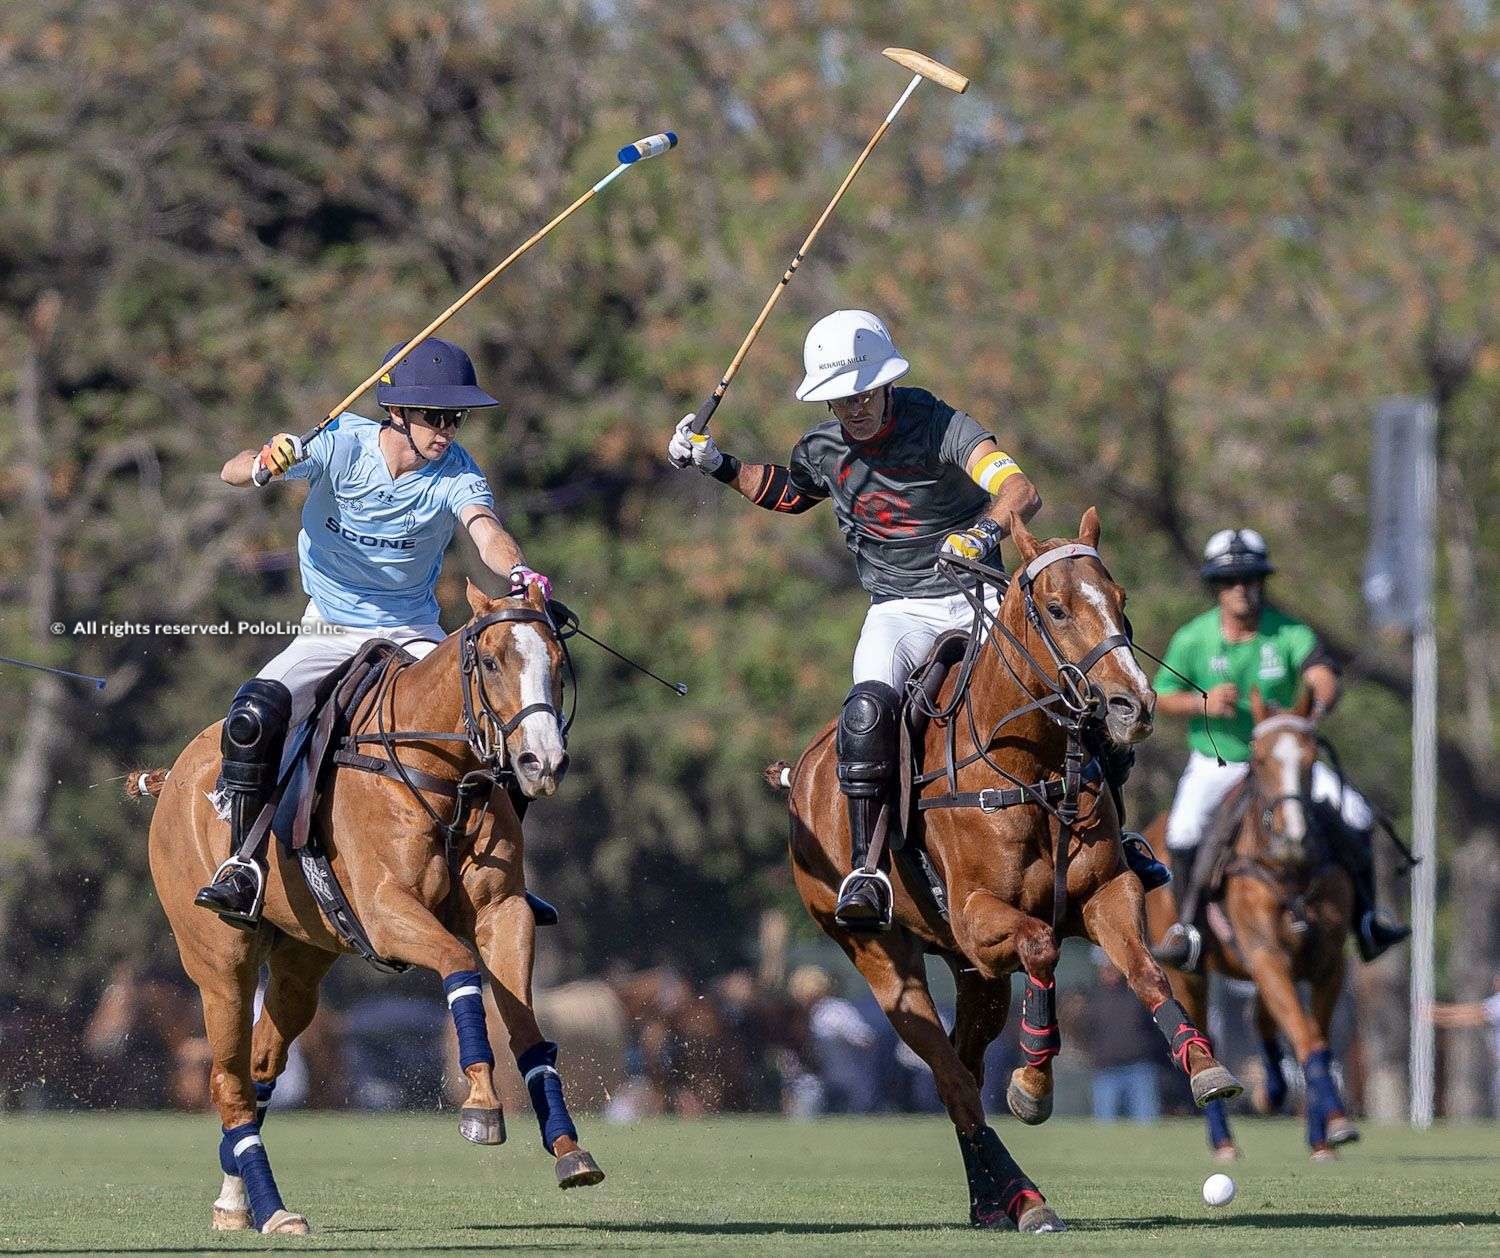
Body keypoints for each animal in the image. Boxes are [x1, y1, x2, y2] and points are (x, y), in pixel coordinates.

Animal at [135, 581, 603, 1241]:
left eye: (558, 666)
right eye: (490, 662)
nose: (543, 762)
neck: (444, 771)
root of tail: (173, 774)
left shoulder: (504, 910)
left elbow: (528, 1028)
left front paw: (568, 1149)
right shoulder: (386, 912)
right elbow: (460, 966)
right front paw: (482, 1107)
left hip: (302, 961)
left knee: (260, 1064)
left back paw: (236, 1199)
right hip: (218, 959)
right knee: (227, 1079)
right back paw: (274, 1210)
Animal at [780, 509, 1236, 1229]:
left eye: (1122, 600)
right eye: (1056, 608)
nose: (1134, 705)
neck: (1033, 766)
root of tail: (802, 773)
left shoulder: (1106, 892)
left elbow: (1142, 967)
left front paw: (1202, 1066)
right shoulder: (976, 919)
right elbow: (1043, 944)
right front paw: (1032, 1086)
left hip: (974, 977)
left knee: (963, 1070)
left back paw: (993, 1200)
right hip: (881, 957)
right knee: (951, 1078)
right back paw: (1025, 1199)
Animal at [1146, 689, 1362, 1163]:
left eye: (1311, 757)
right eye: (1259, 759)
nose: (1293, 837)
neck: (1289, 872)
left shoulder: (1327, 964)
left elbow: (1315, 1040)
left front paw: (1326, 1133)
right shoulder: (1266, 954)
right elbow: (1306, 1037)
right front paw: (1337, 1124)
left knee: (1260, 1015)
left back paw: (1277, 1092)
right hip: (1187, 970)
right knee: (1206, 1030)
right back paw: (1223, 1140)